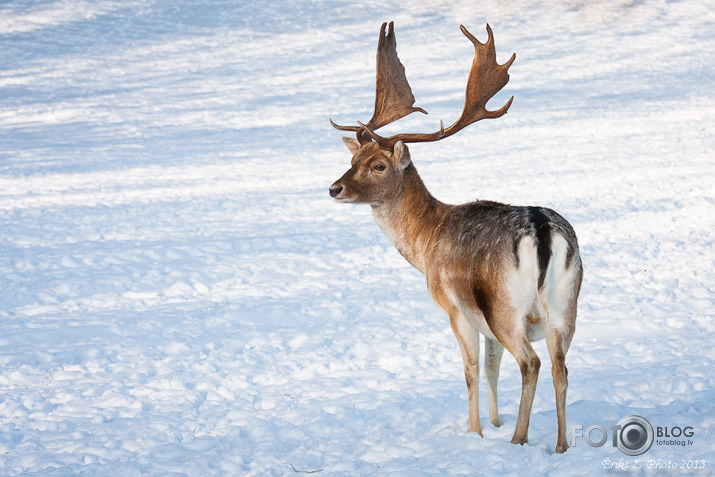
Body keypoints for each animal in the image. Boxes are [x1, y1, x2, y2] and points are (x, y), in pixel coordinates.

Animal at [328, 23, 580, 454]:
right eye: (352, 160)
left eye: (378, 165)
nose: (334, 188)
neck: (425, 243)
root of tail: (542, 230)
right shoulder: (484, 321)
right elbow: (492, 367)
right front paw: (493, 423)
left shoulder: (456, 309)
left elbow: (471, 369)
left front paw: (476, 432)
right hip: (566, 306)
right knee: (561, 367)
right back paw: (561, 446)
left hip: (505, 306)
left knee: (531, 363)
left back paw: (519, 439)